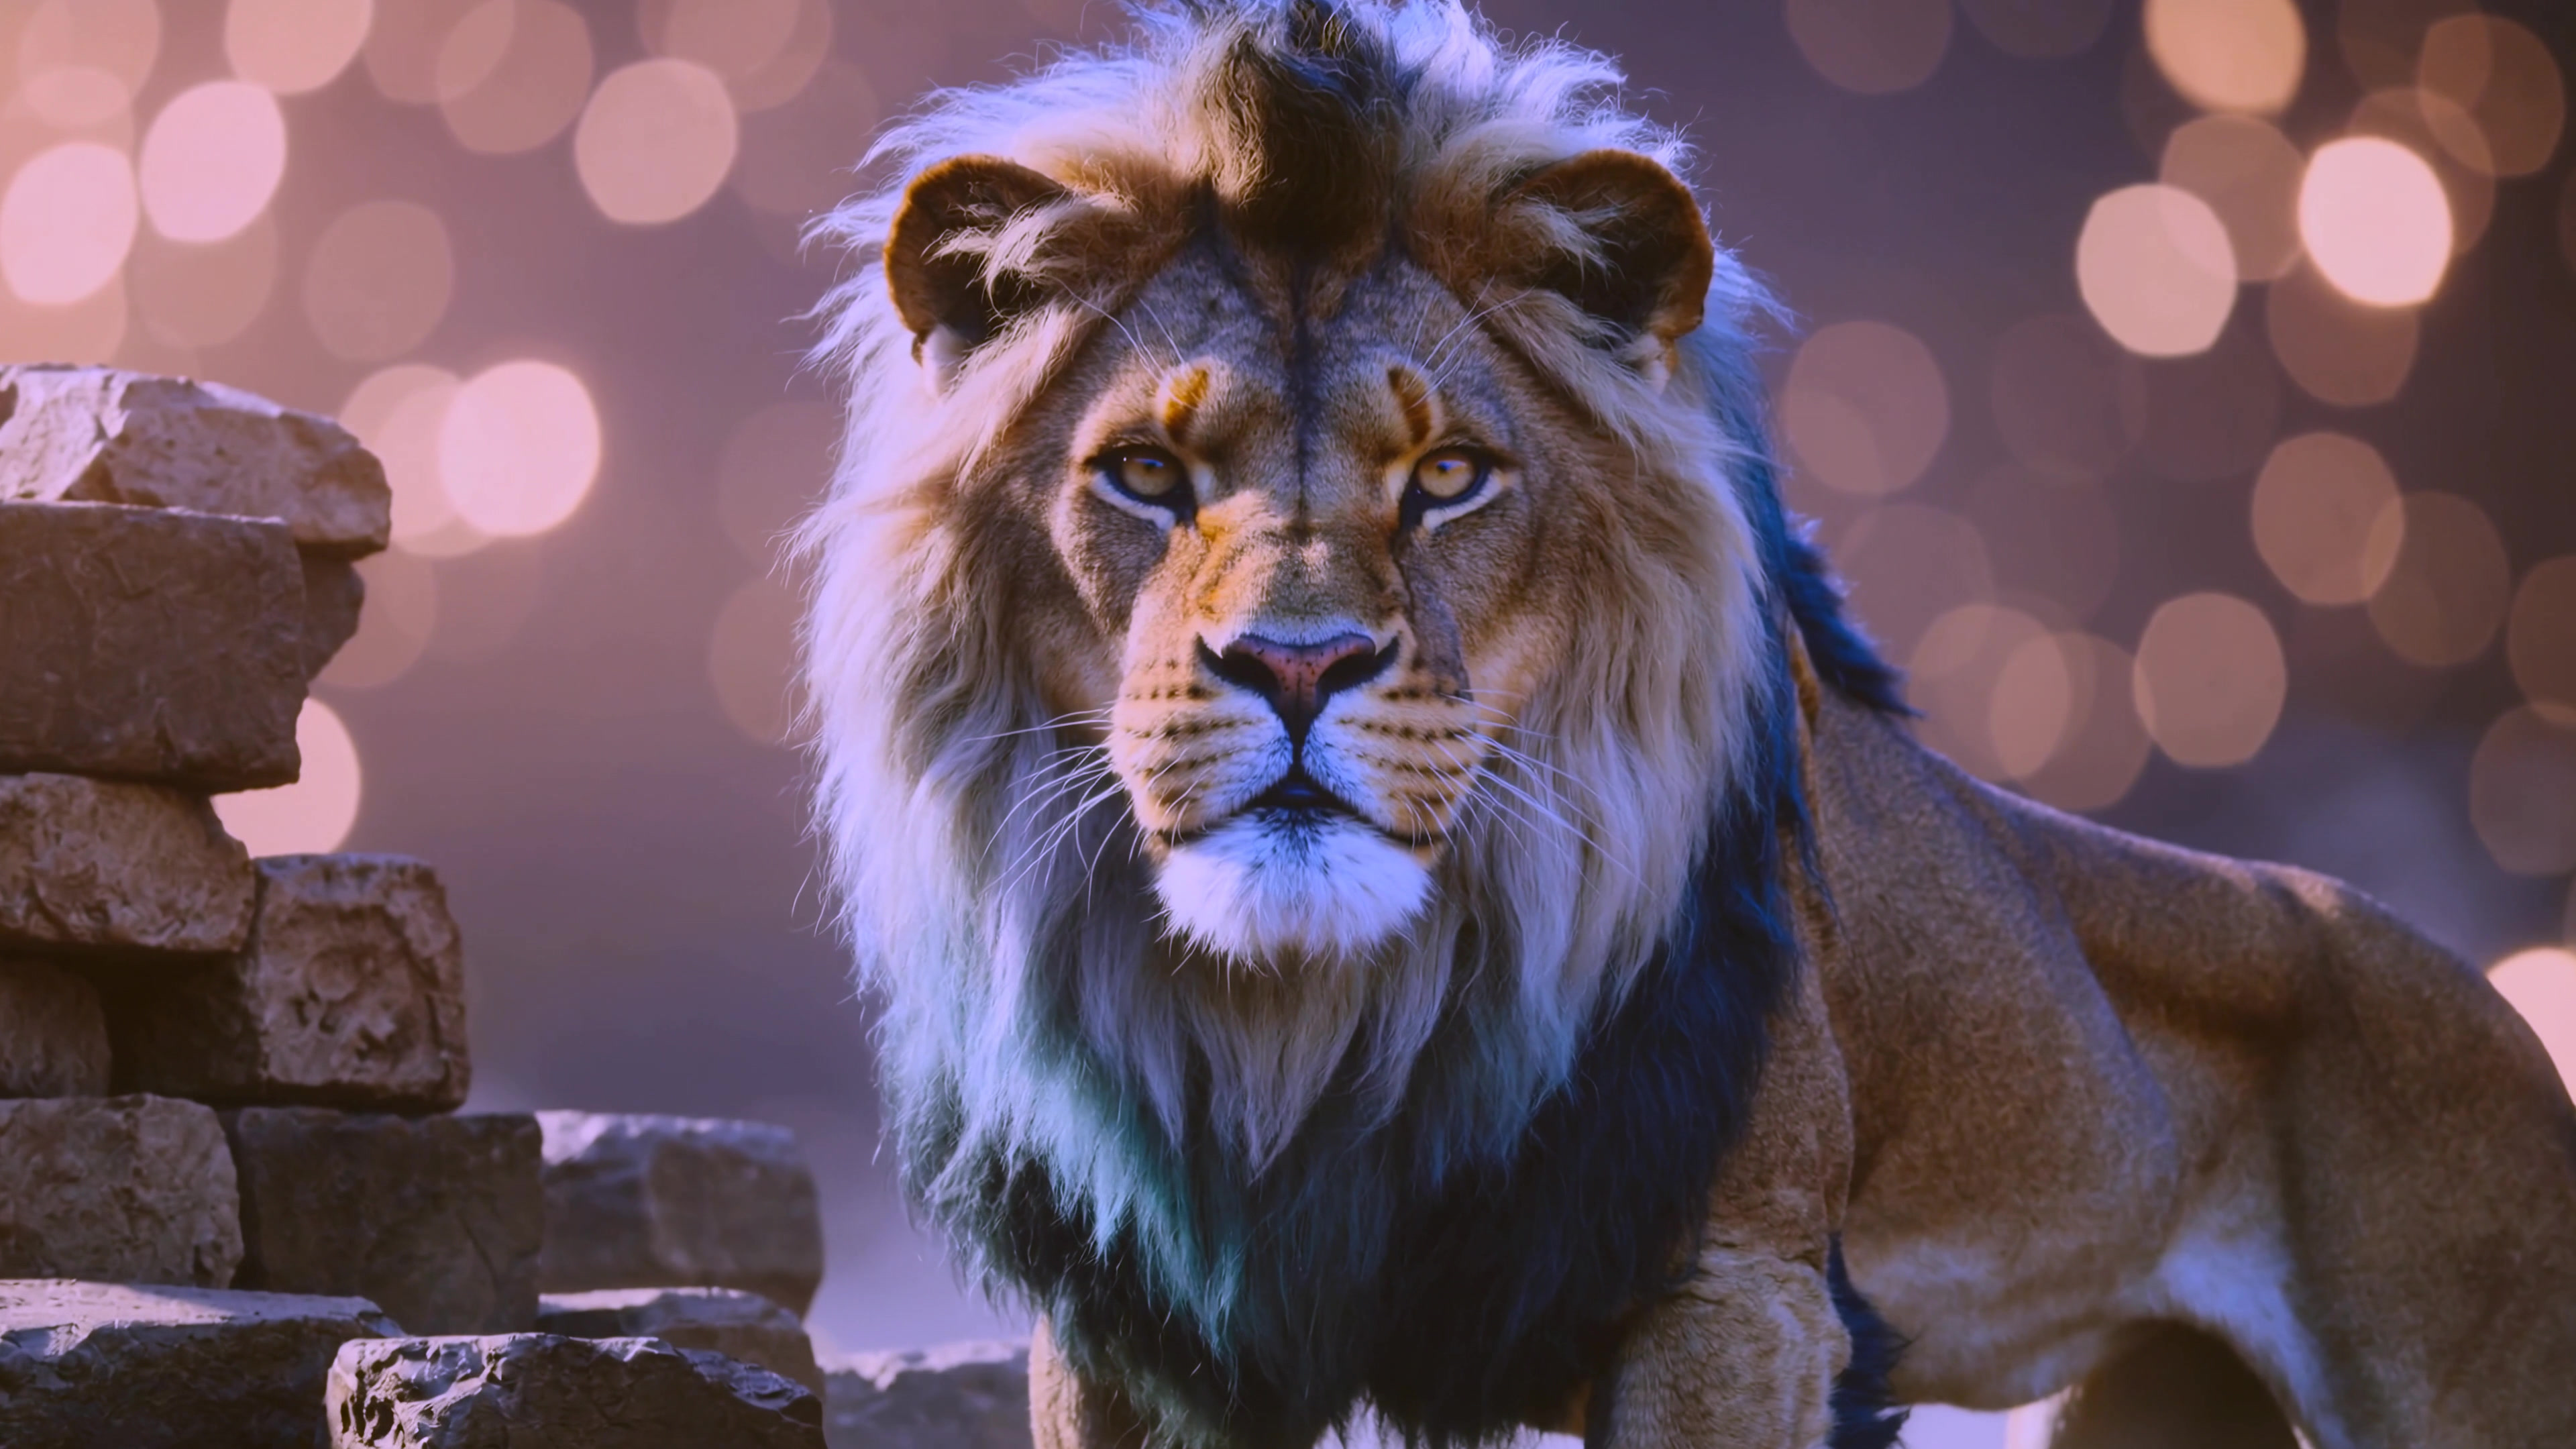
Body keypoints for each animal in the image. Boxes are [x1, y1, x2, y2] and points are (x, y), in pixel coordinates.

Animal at [798, 4, 2576, 1446]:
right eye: (1147, 475)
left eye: (1449, 476)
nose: (1298, 667)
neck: (1324, 1016)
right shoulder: (1140, 1322)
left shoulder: (1739, 1292)